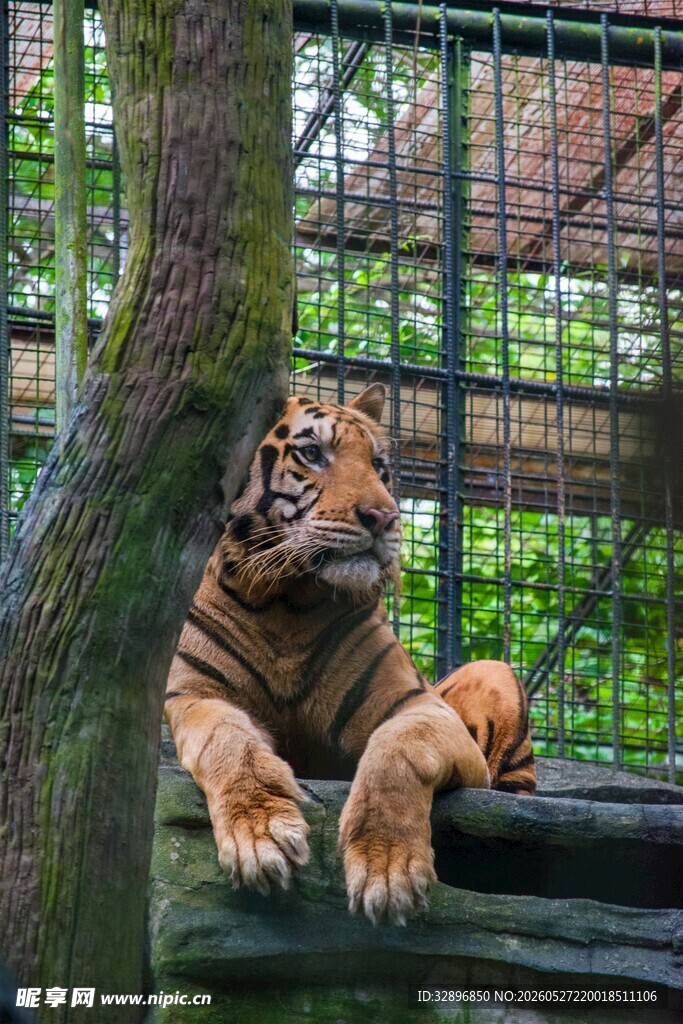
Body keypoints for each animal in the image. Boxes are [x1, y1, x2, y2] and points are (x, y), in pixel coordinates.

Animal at [165, 383, 536, 926]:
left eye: (379, 465)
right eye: (312, 453)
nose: (385, 518)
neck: (285, 600)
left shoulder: (422, 708)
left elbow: (397, 752)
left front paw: (387, 869)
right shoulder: (195, 697)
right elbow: (229, 741)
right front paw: (262, 836)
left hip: (494, 678)